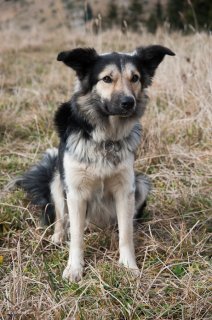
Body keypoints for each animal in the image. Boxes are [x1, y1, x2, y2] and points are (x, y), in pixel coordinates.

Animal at [16, 44, 175, 280]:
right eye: (107, 78)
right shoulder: (75, 191)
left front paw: (128, 266)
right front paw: (74, 268)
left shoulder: (125, 188)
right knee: (61, 219)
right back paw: (57, 237)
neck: (105, 137)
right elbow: (76, 237)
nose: (128, 102)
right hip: (56, 179)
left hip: (141, 183)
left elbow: (126, 234)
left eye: (135, 78)